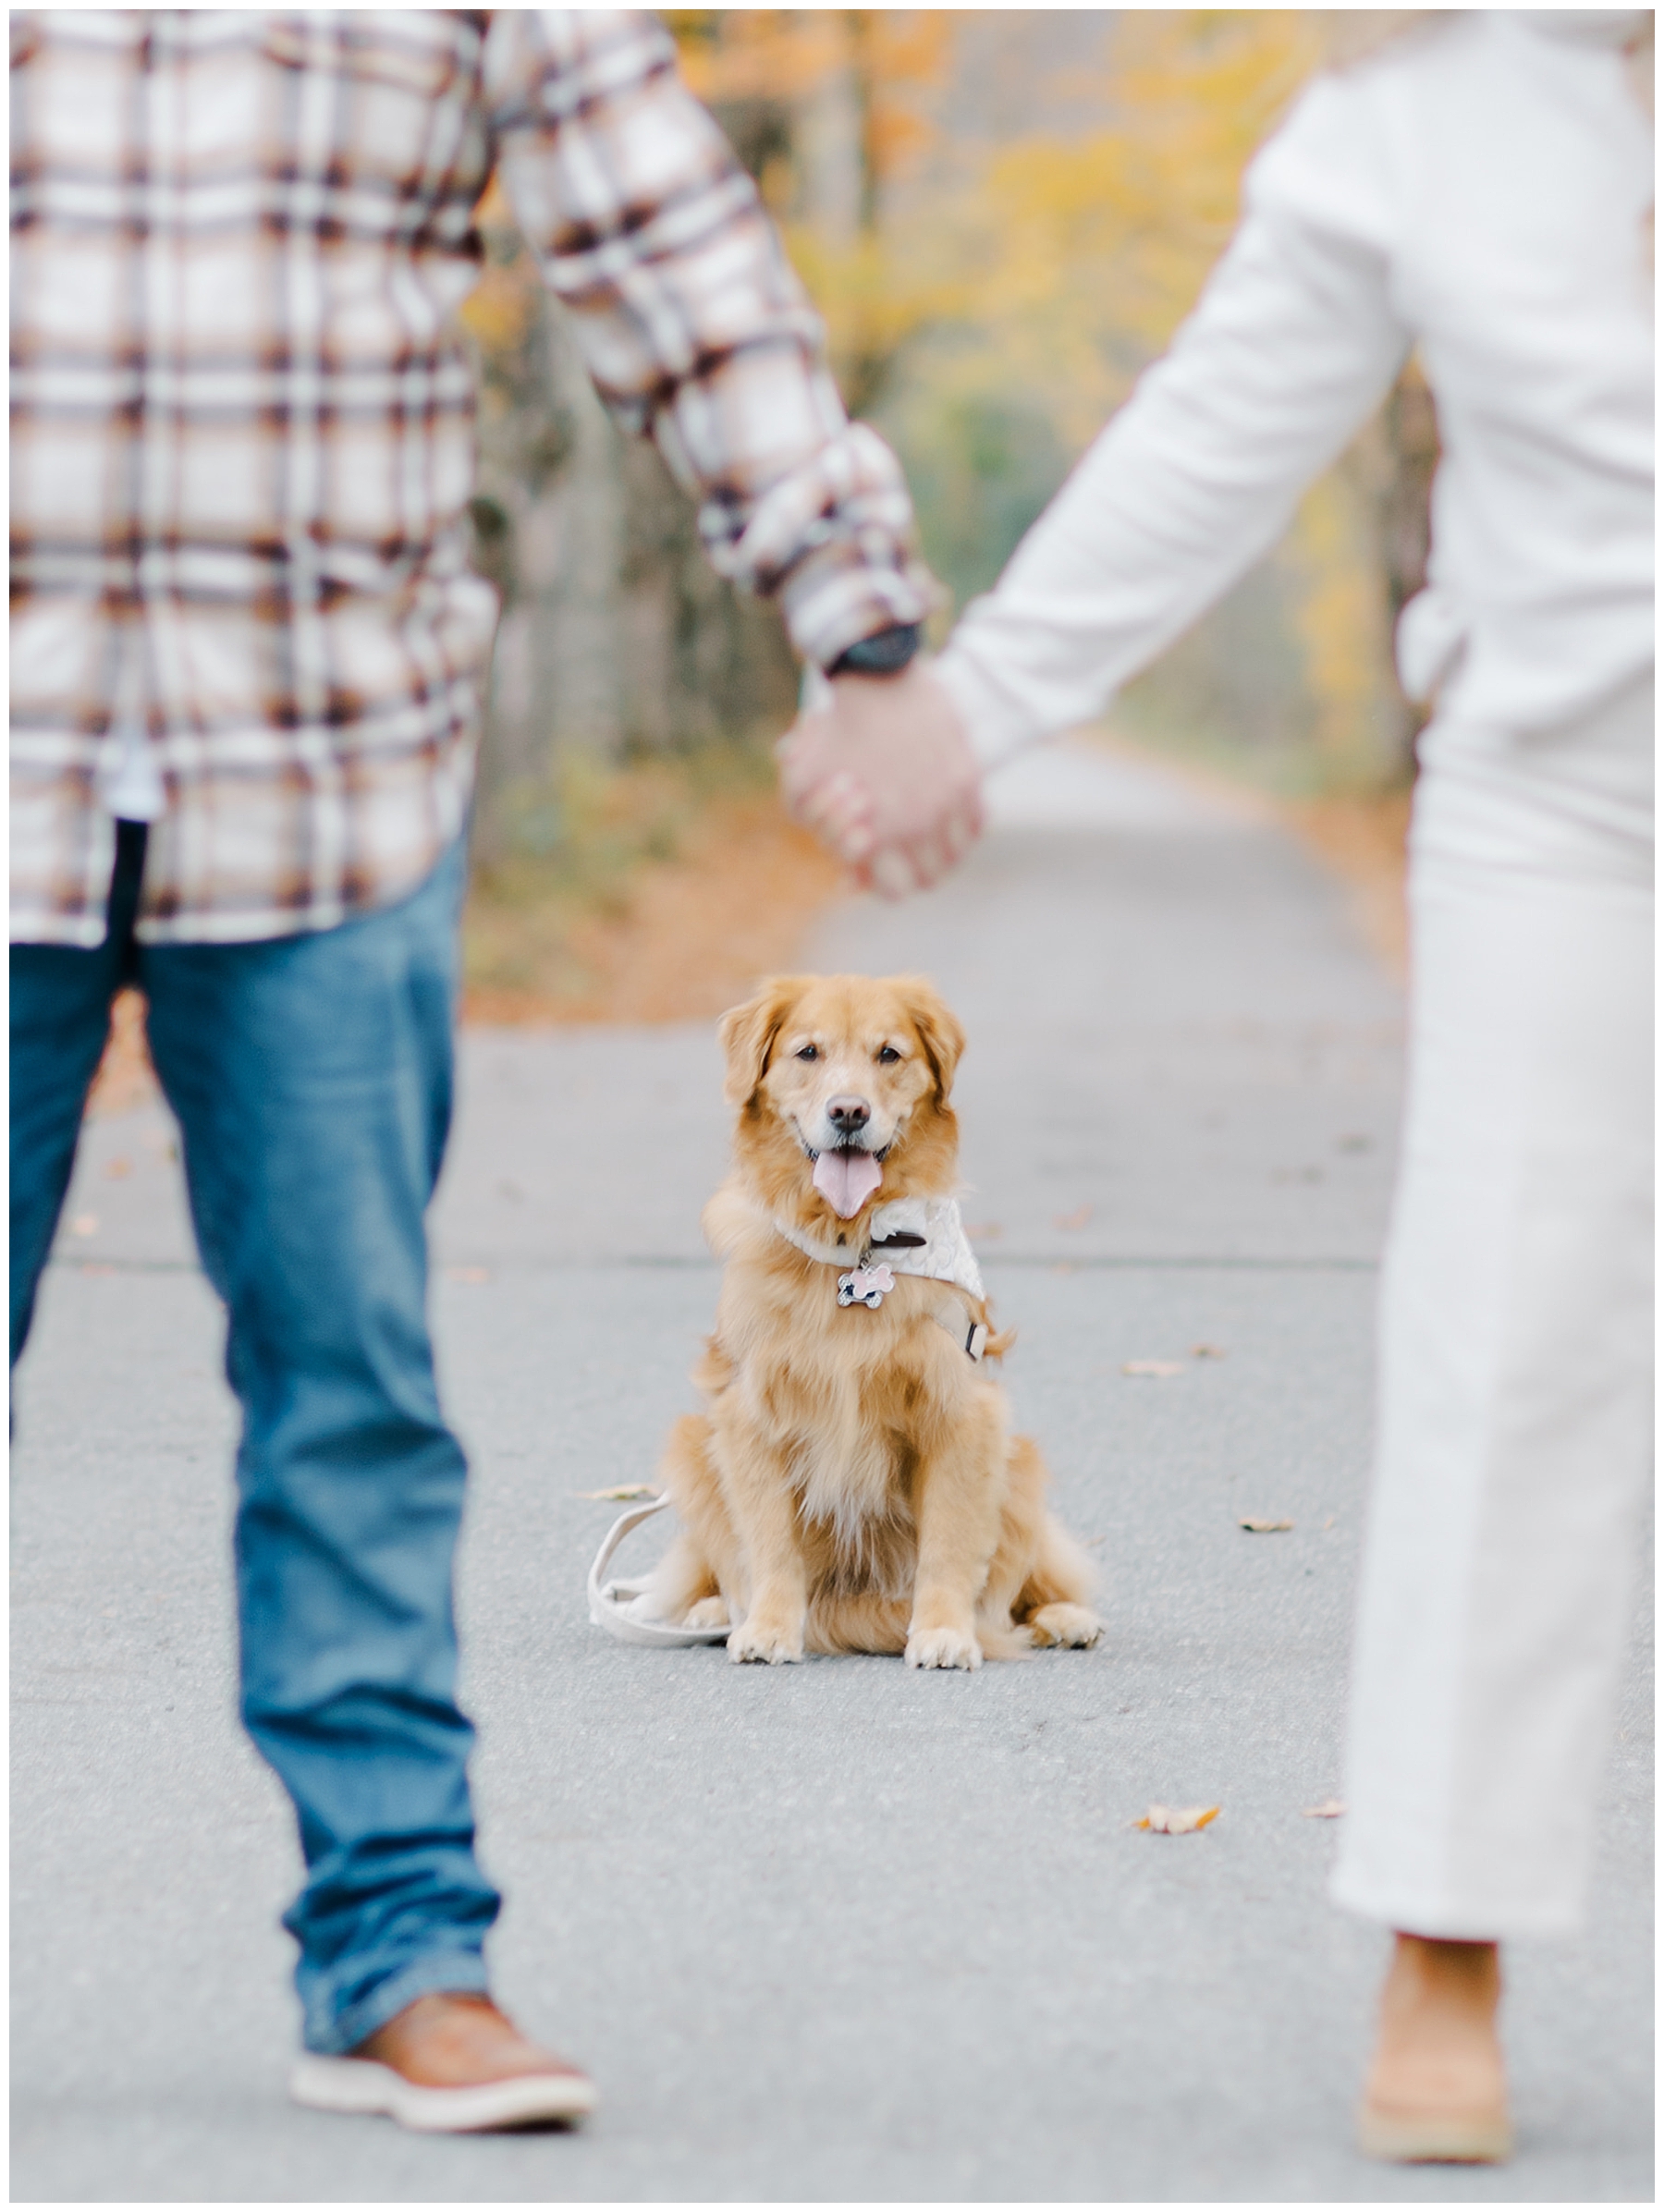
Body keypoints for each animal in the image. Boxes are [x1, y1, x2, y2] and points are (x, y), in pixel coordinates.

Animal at [637, 977, 1106, 1663]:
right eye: (808, 1052)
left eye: (889, 1054)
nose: (849, 1113)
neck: (851, 1245)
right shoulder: (750, 1414)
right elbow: (770, 1544)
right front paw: (770, 1627)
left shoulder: (961, 1411)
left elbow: (948, 1545)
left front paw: (944, 1631)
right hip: (691, 1448)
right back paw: (712, 1611)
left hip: (1020, 1465)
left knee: (1024, 1585)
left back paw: (1063, 1618)